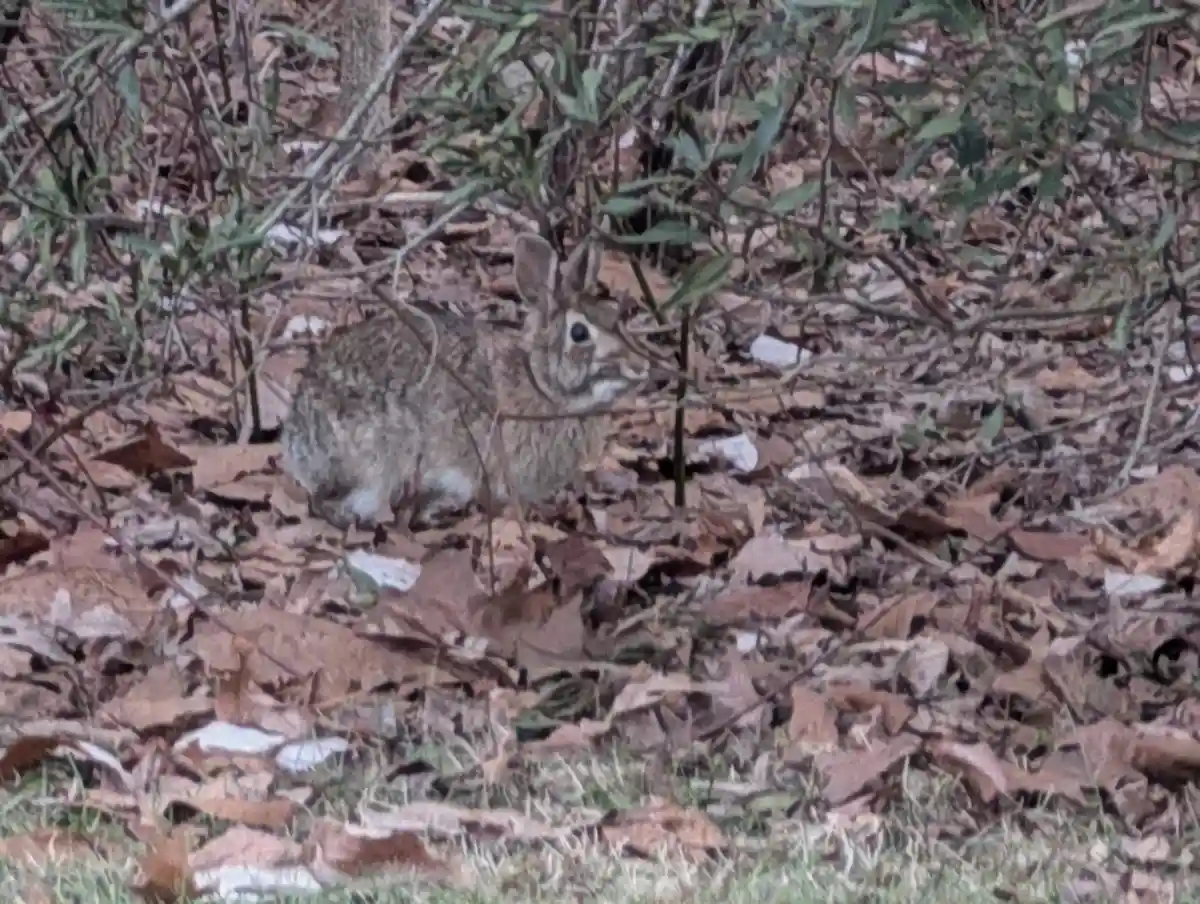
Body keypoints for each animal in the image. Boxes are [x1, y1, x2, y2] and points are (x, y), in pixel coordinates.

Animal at [279, 232, 650, 529]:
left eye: (616, 317)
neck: (542, 385)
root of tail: (301, 444)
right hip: (383, 452)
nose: (640, 368)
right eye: (579, 333)